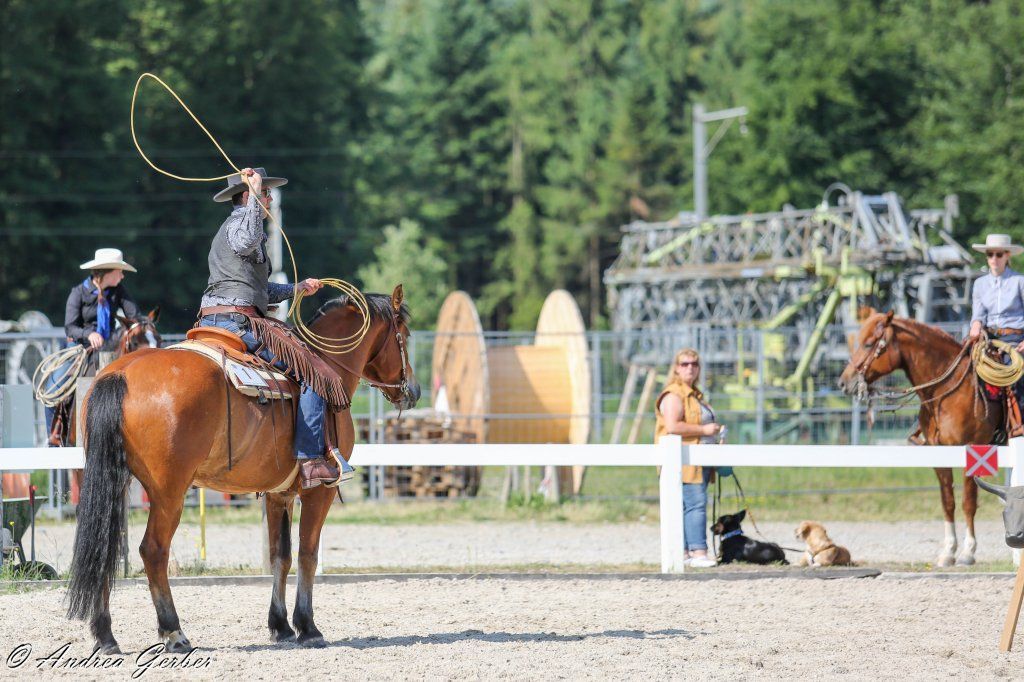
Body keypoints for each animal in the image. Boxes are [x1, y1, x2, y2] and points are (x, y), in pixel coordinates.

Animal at [66, 286, 420, 653]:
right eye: (404, 334)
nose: (413, 390)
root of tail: (121, 374)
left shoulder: (279, 494)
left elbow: (280, 556)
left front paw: (280, 626)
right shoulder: (318, 492)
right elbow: (307, 554)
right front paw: (308, 627)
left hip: (111, 484)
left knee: (102, 550)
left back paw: (105, 636)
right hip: (168, 494)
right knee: (153, 551)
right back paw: (174, 632)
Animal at [838, 309, 1000, 566]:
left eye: (869, 343)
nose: (844, 382)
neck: (947, 392)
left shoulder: (971, 448)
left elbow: (968, 502)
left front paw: (968, 552)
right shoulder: (938, 453)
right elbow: (948, 501)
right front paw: (948, 552)